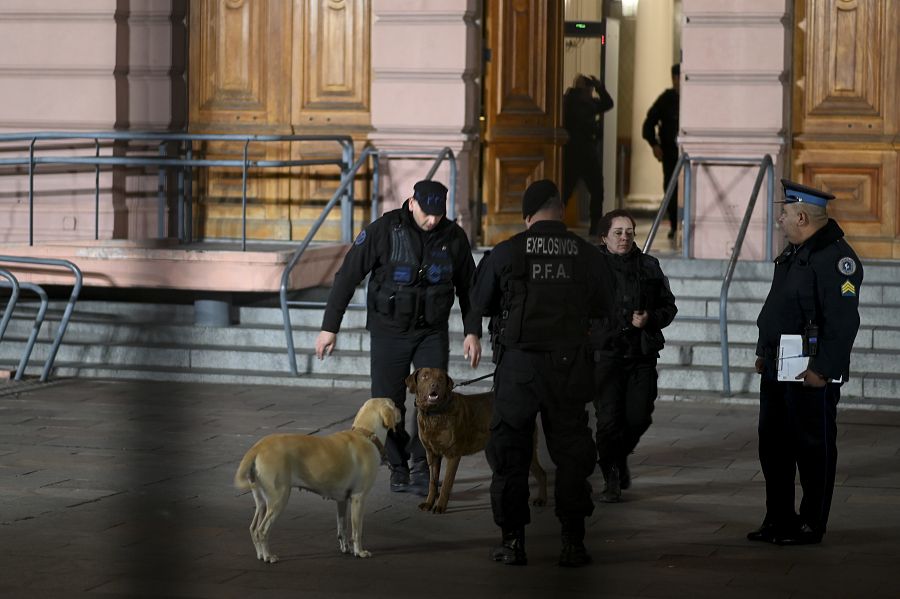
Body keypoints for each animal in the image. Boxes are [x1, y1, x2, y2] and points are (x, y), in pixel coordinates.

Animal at [234, 398, 400, 564]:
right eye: (394, 404)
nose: (401, 411)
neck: (365, 434)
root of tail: (258, 446)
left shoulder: (342, 500)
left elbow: (342, 527)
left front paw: (346, 548)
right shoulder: (358, 497)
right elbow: (357, 530)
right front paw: (359, 552)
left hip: (262, 501)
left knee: (253, 528)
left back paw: (261, 555)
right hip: (278, 498)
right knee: (262, 530)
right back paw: (268, 556)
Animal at [408, 368, 548, 512]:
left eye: (441, 378)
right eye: (425, 377)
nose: (435, 385)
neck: (434, 414)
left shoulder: (453, 455)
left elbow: (446, 484)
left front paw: (440, 506)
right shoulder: (432, 454)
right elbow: (432, 482)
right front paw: (429, 503)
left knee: (541, 474)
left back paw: (541, 499)